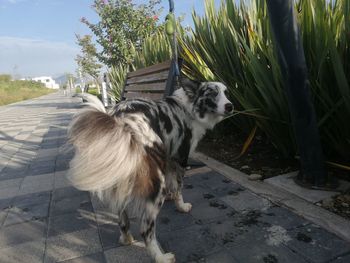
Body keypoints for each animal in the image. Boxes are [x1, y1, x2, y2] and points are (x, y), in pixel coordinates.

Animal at [67, 79, 234, 263]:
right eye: (212, 93)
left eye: (226, 93)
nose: (230, 106)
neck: (188, 107)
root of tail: (120, 119)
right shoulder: (180, 159)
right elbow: (178, 187)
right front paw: (181, 206)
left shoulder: (169, 159)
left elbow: (173, 185)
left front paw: (172, 197)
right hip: (156, 184)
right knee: (146, 230)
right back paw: (161, 257)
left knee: (122, 218)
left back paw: (126, 238)